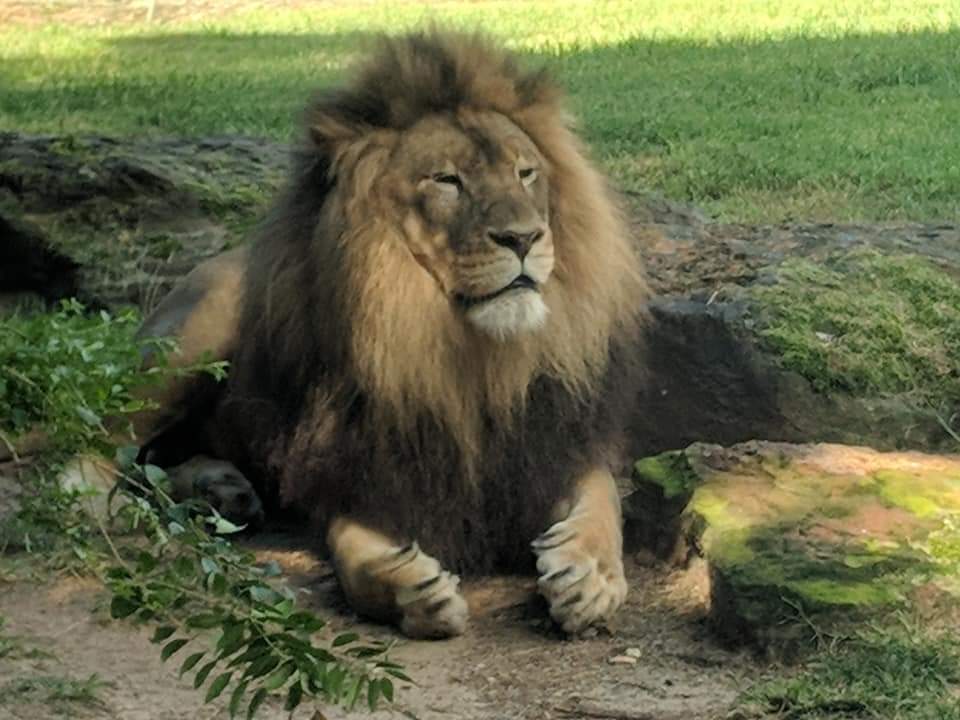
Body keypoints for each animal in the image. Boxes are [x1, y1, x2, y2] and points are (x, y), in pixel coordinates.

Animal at [133, 30, 649, 639]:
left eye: (526, 173)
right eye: (447, 181)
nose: (525, 238)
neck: (469, 357)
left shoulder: (555, 442)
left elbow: (603, 503)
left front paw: (588, 576)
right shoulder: (357, 471)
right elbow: (355, 559)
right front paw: (411, 590)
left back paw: (221, 488)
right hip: (196, 332)